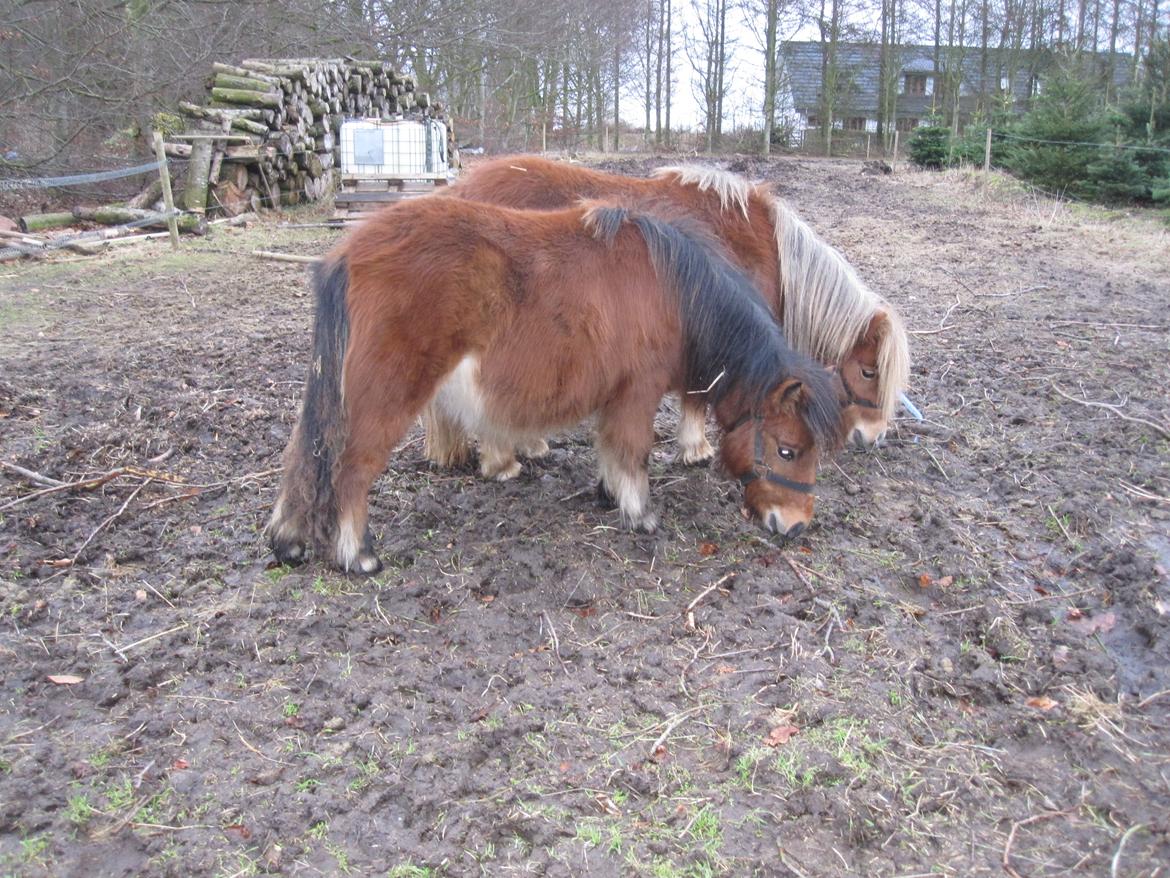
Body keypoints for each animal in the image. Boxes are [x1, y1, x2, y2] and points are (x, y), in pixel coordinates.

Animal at [425, 154, 907, 477]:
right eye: (868, 371)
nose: (874, 436)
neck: (764, 245)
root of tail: (457, 191)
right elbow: (696, 395)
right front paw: (696, 449)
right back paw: (504, 460)